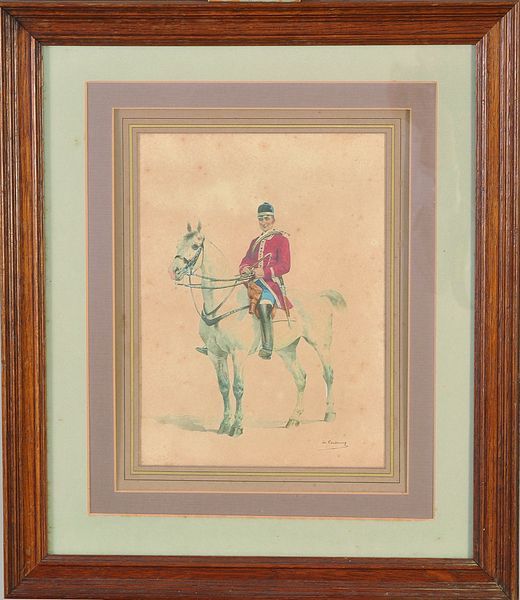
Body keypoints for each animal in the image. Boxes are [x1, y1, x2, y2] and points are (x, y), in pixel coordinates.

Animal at [169, 221, 346, 437]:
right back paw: (294, 418)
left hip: (320, 344)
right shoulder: (215, 354)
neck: (221, 304)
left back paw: (330, 413)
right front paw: (224, 424)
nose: (175, 270)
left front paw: (237, 426)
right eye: (177, 244)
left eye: (195, 246)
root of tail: (320, 296)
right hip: (286, 350)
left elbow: (238, 388)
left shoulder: (238, 353)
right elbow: (223, 387)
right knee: (301, 378)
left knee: (328, 374)